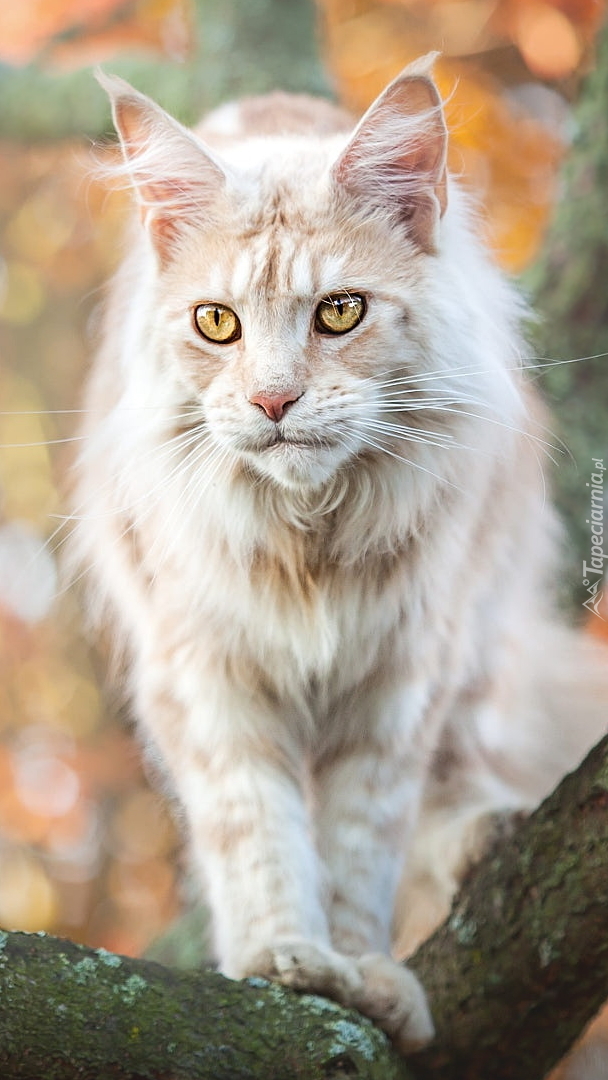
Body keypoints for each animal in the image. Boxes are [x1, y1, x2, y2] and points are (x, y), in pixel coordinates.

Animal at [69, 52, 604, 1054]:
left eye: (341, 312)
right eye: (217, 324)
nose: (274, 401)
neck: (307, 536)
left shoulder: (403, 675)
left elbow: (366, 841)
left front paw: (363, 973)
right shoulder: (205, 674)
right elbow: (259, 834)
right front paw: (286, 959)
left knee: (465, 772)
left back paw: (479, 832)